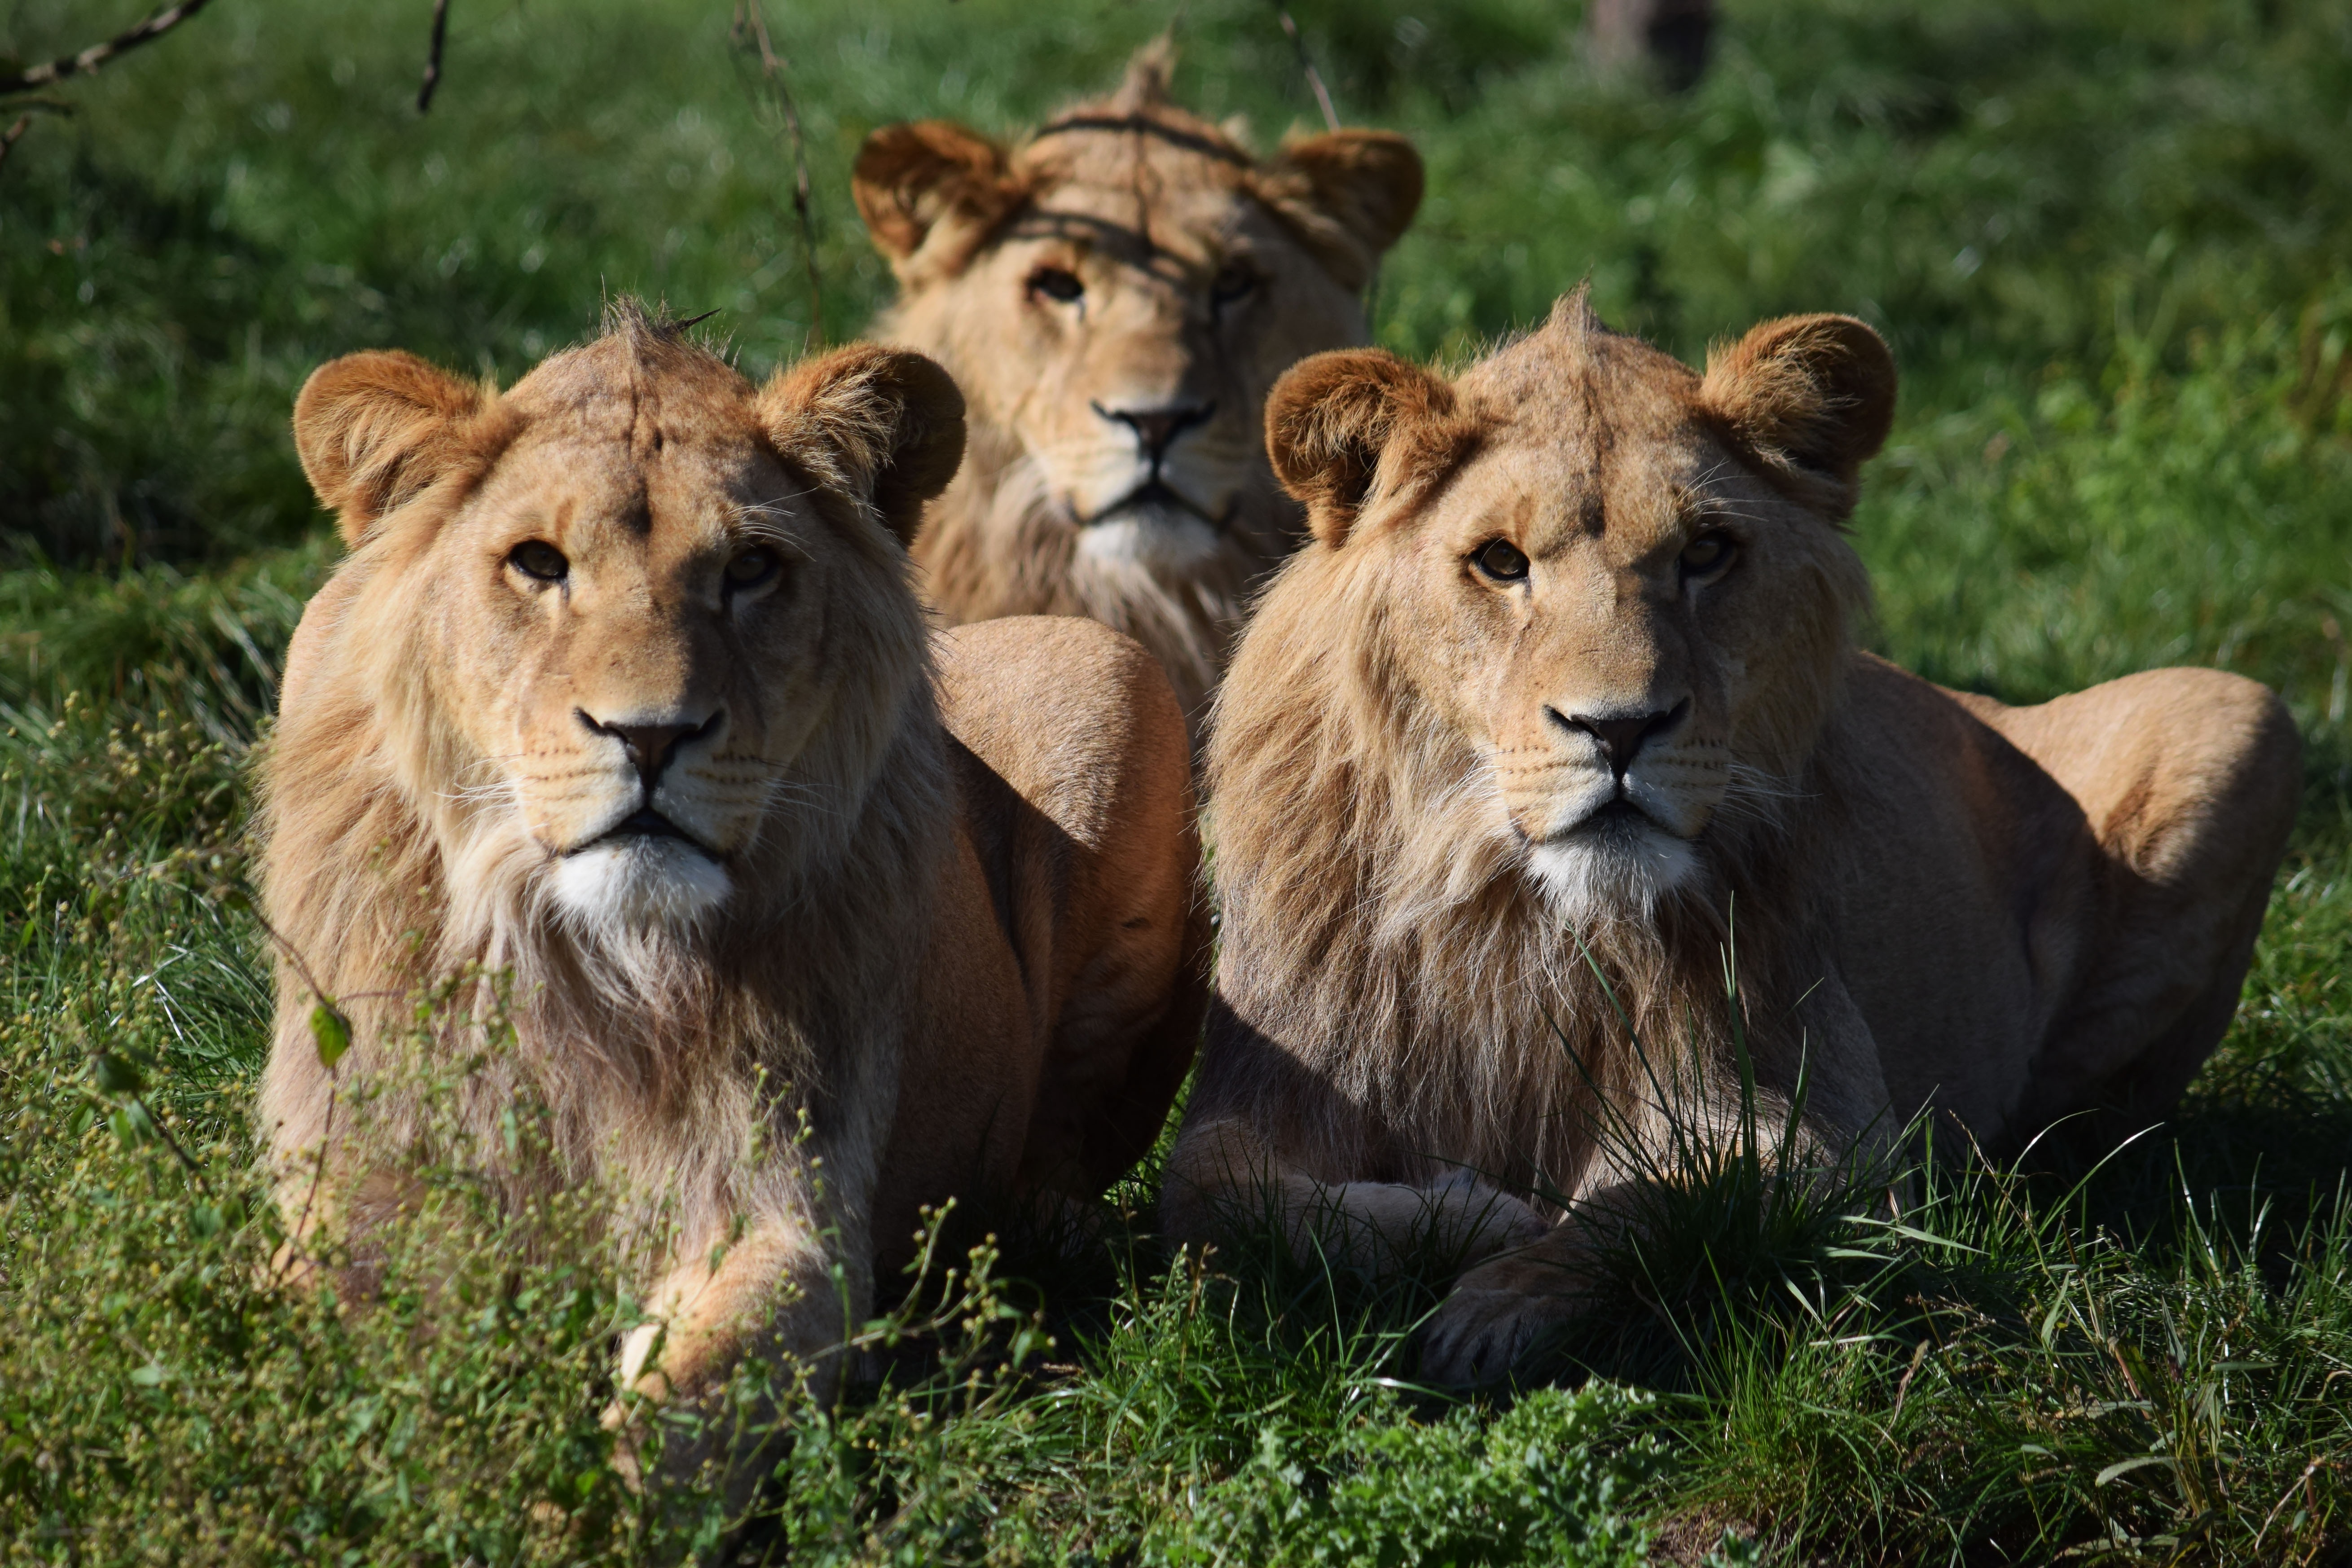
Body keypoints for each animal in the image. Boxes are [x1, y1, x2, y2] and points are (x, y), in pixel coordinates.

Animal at [259, 303, 1213, 1485]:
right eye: (537, 563)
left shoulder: (784, 1217)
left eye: (752, 568)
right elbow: (308, 1379)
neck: (595, 968)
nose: (650, 735)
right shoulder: (350, 1198)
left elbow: (667, 1425)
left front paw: (562, 1503)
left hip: (1115, 670)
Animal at [1166, 291, 2305, 1382]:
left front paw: (1493, 1305)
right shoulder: (1264, 1088)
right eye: (1498, 561)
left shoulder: (1826, 1130)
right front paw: (1472, 1215)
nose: (1620, 729)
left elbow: (1651, 1204)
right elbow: (1224, 1201)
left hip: (2239, 715)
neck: (1516, 918)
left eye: (1705, 553)